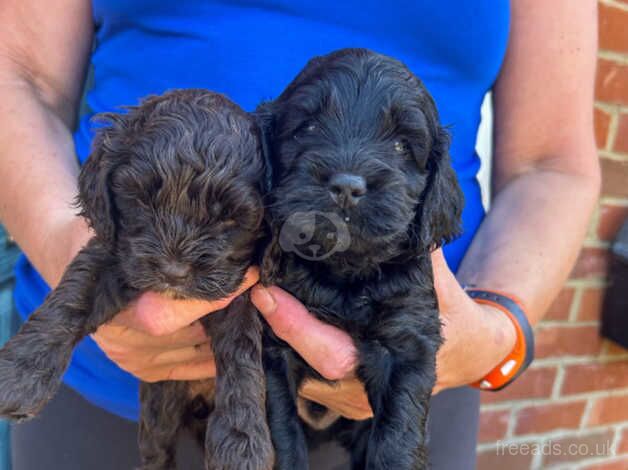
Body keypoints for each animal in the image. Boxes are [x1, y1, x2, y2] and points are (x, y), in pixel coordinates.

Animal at [0, 89, 274, 470]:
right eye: (143, 200)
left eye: (228, 218)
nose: (174, 273)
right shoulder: (113, 253)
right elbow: (73, 295)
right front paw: (20, 376)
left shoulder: (240, 294)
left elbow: (243, 355)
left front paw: (242, 443)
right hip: (160, 400)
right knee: (156, 450)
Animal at [258, 49, 464, 468]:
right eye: (307, 128)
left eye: (402, 145)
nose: (347, 187)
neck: (343, 271)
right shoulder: (274, 347)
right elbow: (282, 430)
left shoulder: (408, 342)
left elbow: (398, 434)